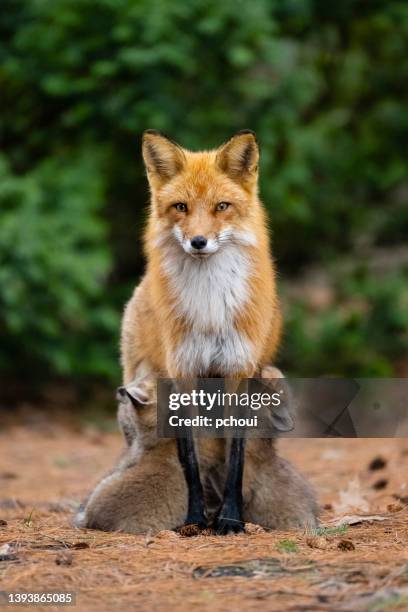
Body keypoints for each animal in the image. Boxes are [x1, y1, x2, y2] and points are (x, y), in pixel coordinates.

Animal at [121, 131, 286, 532]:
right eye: (180, 207)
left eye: (221, 206)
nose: (198, 242)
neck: (209, 304)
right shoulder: (182, 371)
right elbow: (189, 457)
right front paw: (195, 518)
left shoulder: (238, 370)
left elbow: (235, 456)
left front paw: (230, 518)